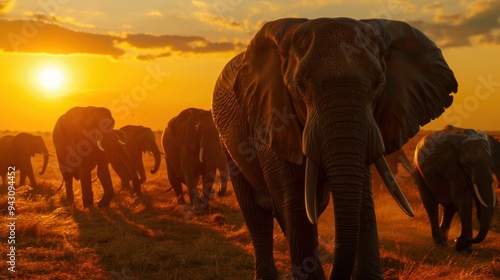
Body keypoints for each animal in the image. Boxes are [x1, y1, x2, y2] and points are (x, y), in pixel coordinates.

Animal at [211, 18, 458, 280]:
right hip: (229, 144)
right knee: (257, 214)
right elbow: (295, 206)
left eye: (378, 85)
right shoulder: (271, 119)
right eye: (300, 86)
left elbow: (362, 202)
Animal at [414, 124, 496, 252]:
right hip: (418, 171)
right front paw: (465, 249)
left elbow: (478, 200)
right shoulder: (453, 167)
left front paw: (464, 246)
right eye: (468, 163)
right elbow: (464, 202)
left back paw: (445, 241)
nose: (457, 240)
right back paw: (440, 243)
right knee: (431, 206)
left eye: (490, 160)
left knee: (449, 208)